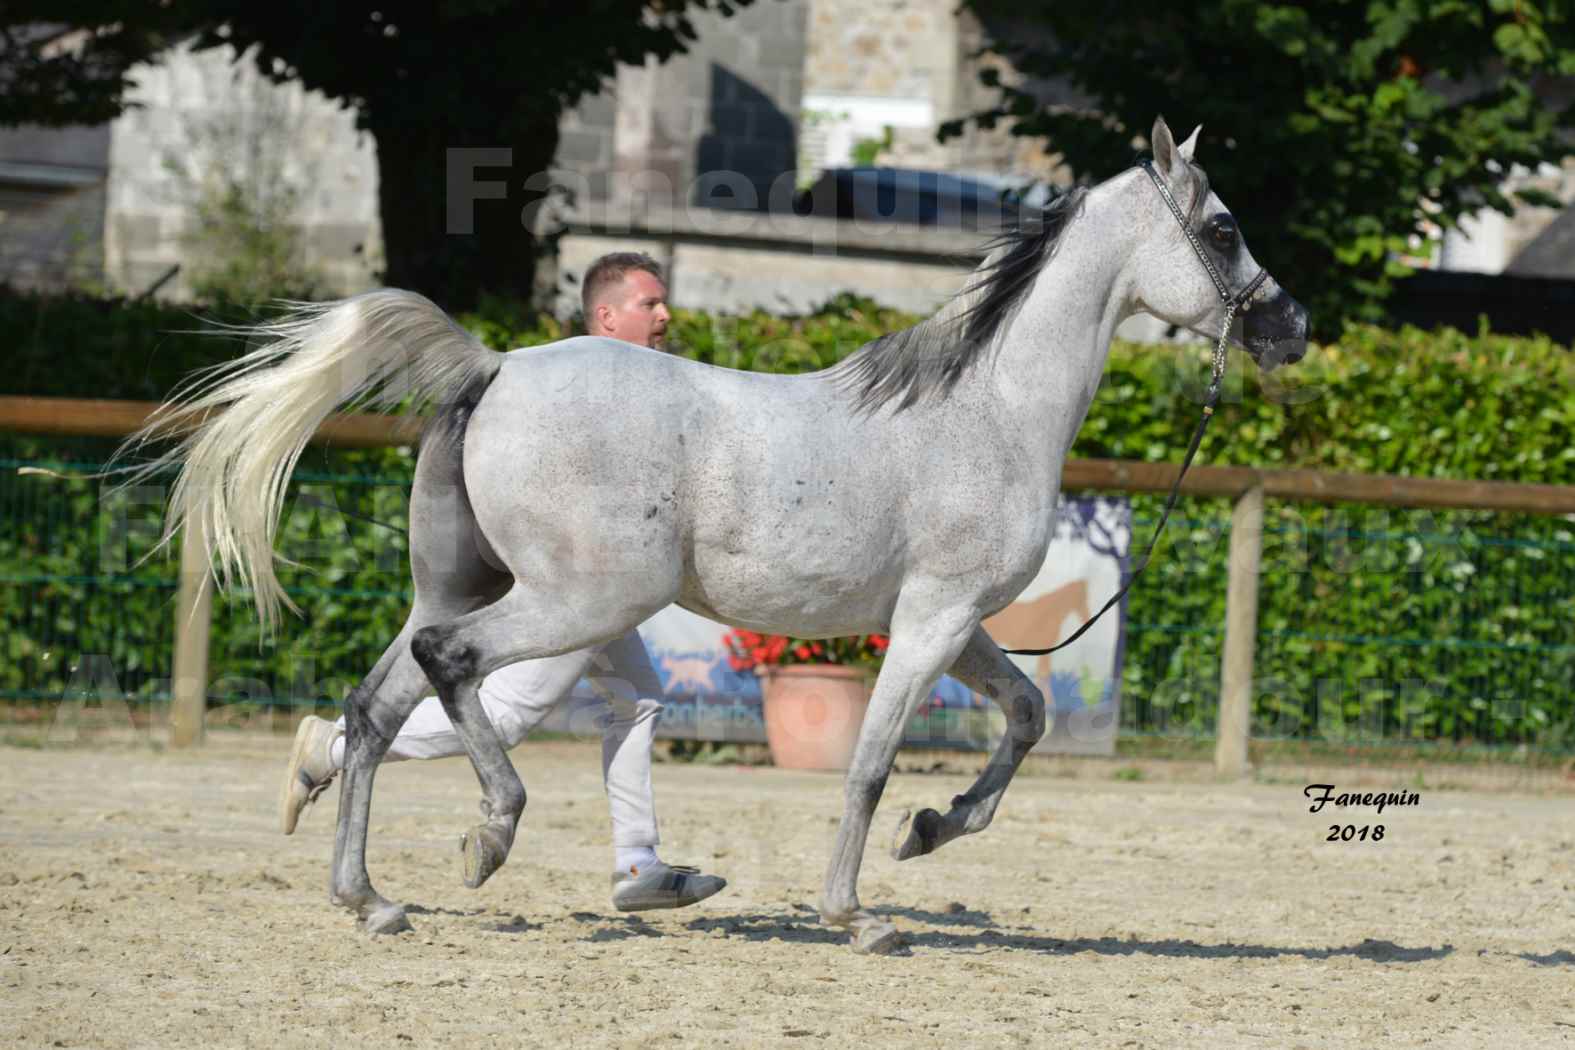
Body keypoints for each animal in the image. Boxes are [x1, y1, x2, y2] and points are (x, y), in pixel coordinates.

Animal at [126, 117, 1304, 950]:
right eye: (1223, 228)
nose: (1291, 326)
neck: (988, 410)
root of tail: (492, 365)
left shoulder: (954, 621)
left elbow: (1025, 715)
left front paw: (932, 834)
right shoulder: (930, 622)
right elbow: (869, 763)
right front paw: (858, 915)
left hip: (467, 582)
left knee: (372, 710)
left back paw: (368, 896)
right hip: (576, 600)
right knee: (448, 669)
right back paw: (488, 835)